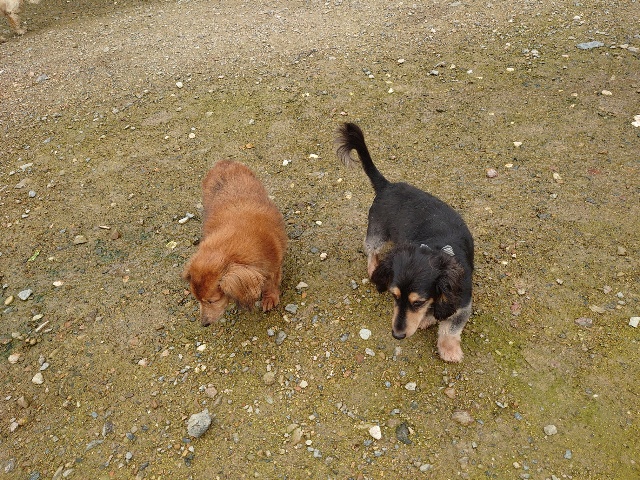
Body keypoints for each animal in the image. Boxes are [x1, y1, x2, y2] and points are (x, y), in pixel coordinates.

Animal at [182, 160, 287, 326]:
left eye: (212, 301)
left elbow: (272, 283)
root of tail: (224, 162)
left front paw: (270, 298)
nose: (204, 324)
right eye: (197, 299)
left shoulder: (273, 266)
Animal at [336, 123, 474, 362]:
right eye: (394, 296)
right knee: (371, 249)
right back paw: (374, 267)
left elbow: (450, 327)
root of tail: (387, 186)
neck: (439, 249)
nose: (397, 335)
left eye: (417, 302)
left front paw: (448, 347)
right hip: (378, 233)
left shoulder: (461, 301)